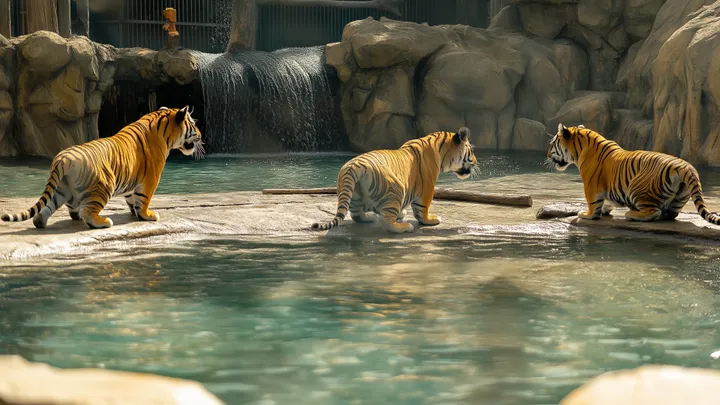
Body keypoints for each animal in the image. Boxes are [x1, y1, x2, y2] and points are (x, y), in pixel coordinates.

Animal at [1, 106, 203, 229]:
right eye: (193, 124)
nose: (201, 135)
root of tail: (62, 158)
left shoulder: (132, 180)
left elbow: (132, 198)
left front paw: (134, 211)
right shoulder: (150, 179)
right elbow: (144, 199)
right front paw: (148, 215)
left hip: (61, 189)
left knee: (46, 208)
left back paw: (40, 222)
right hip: (104, 186)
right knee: (87, 212)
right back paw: (104, 221)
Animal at [311, 127, 478, 233]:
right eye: (471, 150)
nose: (476, 162)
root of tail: (353, 167)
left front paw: (402, 213)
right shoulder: (427, 187)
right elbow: (422, 208)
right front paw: (430, 220)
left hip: (353, 195)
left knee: (356, 215)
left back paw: (370, 216)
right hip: (395, 189)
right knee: (386, 221)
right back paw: (404, 227)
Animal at [547, 123, 720, 224]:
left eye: (552, 144)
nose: (547, 155)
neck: (579, 150)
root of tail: (686, 167)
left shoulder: (591, 186)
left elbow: (593, 203)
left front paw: (587, 214)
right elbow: (606, 201)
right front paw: (605, 210)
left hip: (637, 188)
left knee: (653, 212)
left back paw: (631, 214)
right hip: (680, 197)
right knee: (669, 214)